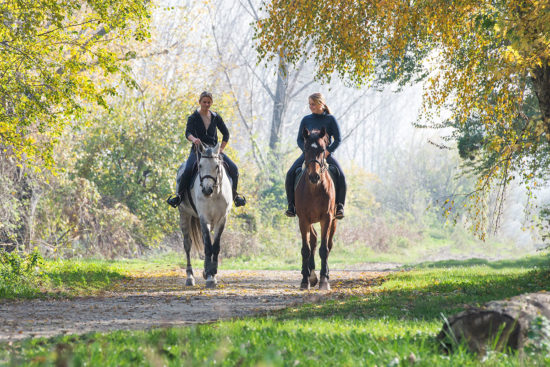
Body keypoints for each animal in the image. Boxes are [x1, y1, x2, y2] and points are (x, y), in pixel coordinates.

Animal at [179, 142, 233, 288]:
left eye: (216, 166)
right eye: (200, 165)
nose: (206, 190)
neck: (215, 194)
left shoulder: (221, 219)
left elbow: (215, 245)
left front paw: (211, 273)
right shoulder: (204, 218)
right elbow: (208, 246)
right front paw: (209, 276)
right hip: (184, 214)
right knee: (187, 244)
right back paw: (190, 277)